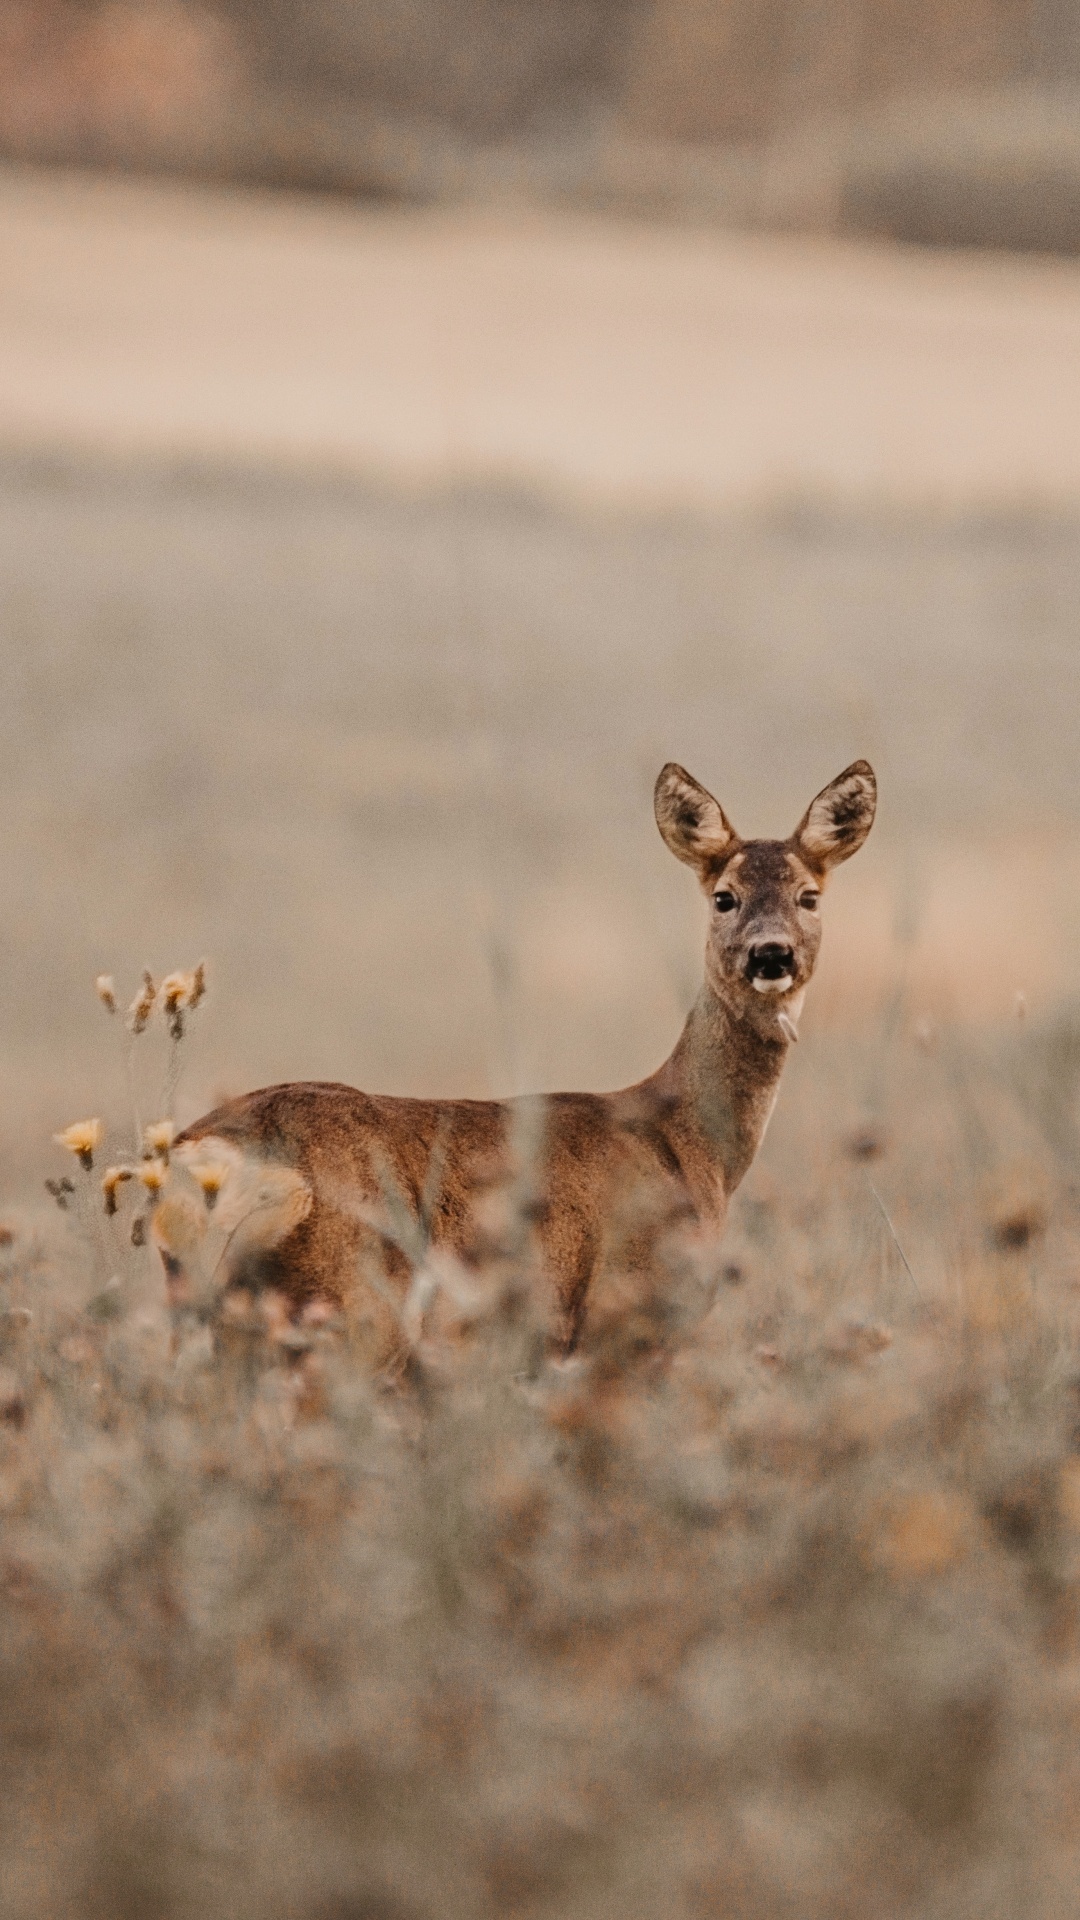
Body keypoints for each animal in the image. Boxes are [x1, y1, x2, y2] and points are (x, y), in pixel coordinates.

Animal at [157, 756, 876, 1374]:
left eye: (809, 896)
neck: (689, 1144)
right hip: (346, 1308)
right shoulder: (622, 1320)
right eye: (724, 897)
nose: (771, 954)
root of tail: (207, 1155)